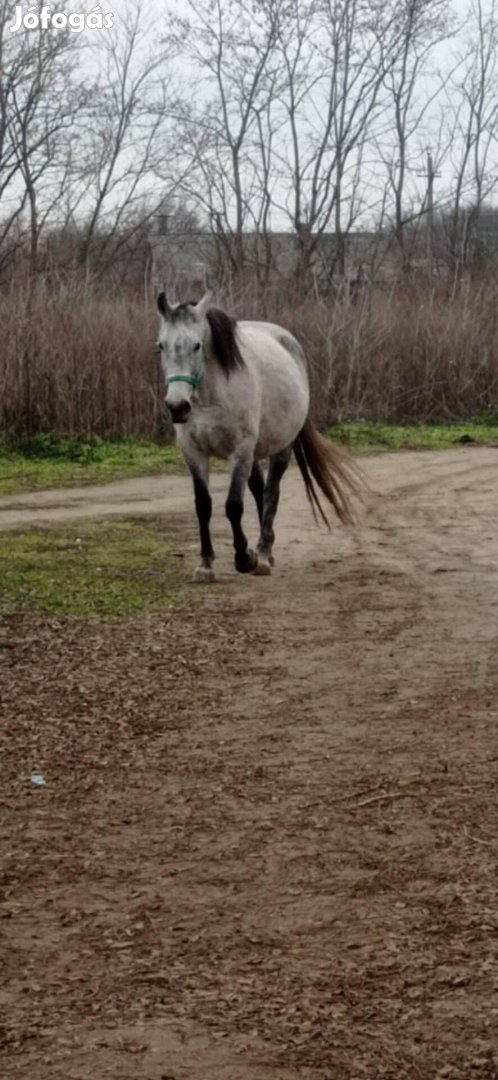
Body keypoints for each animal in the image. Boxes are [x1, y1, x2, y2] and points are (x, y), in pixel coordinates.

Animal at [155, 291, 356, 583]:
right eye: (161, 346)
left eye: (197, 345)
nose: (177, 406)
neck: (211, 396)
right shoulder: (194, 453)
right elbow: (203, 505)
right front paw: (206, 565)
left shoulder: (240, 452)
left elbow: (233, 505)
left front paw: (244, 557)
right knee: (259, 488)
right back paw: (266, 552)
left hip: (279, 448)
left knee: (271, 492)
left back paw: (262, 554)